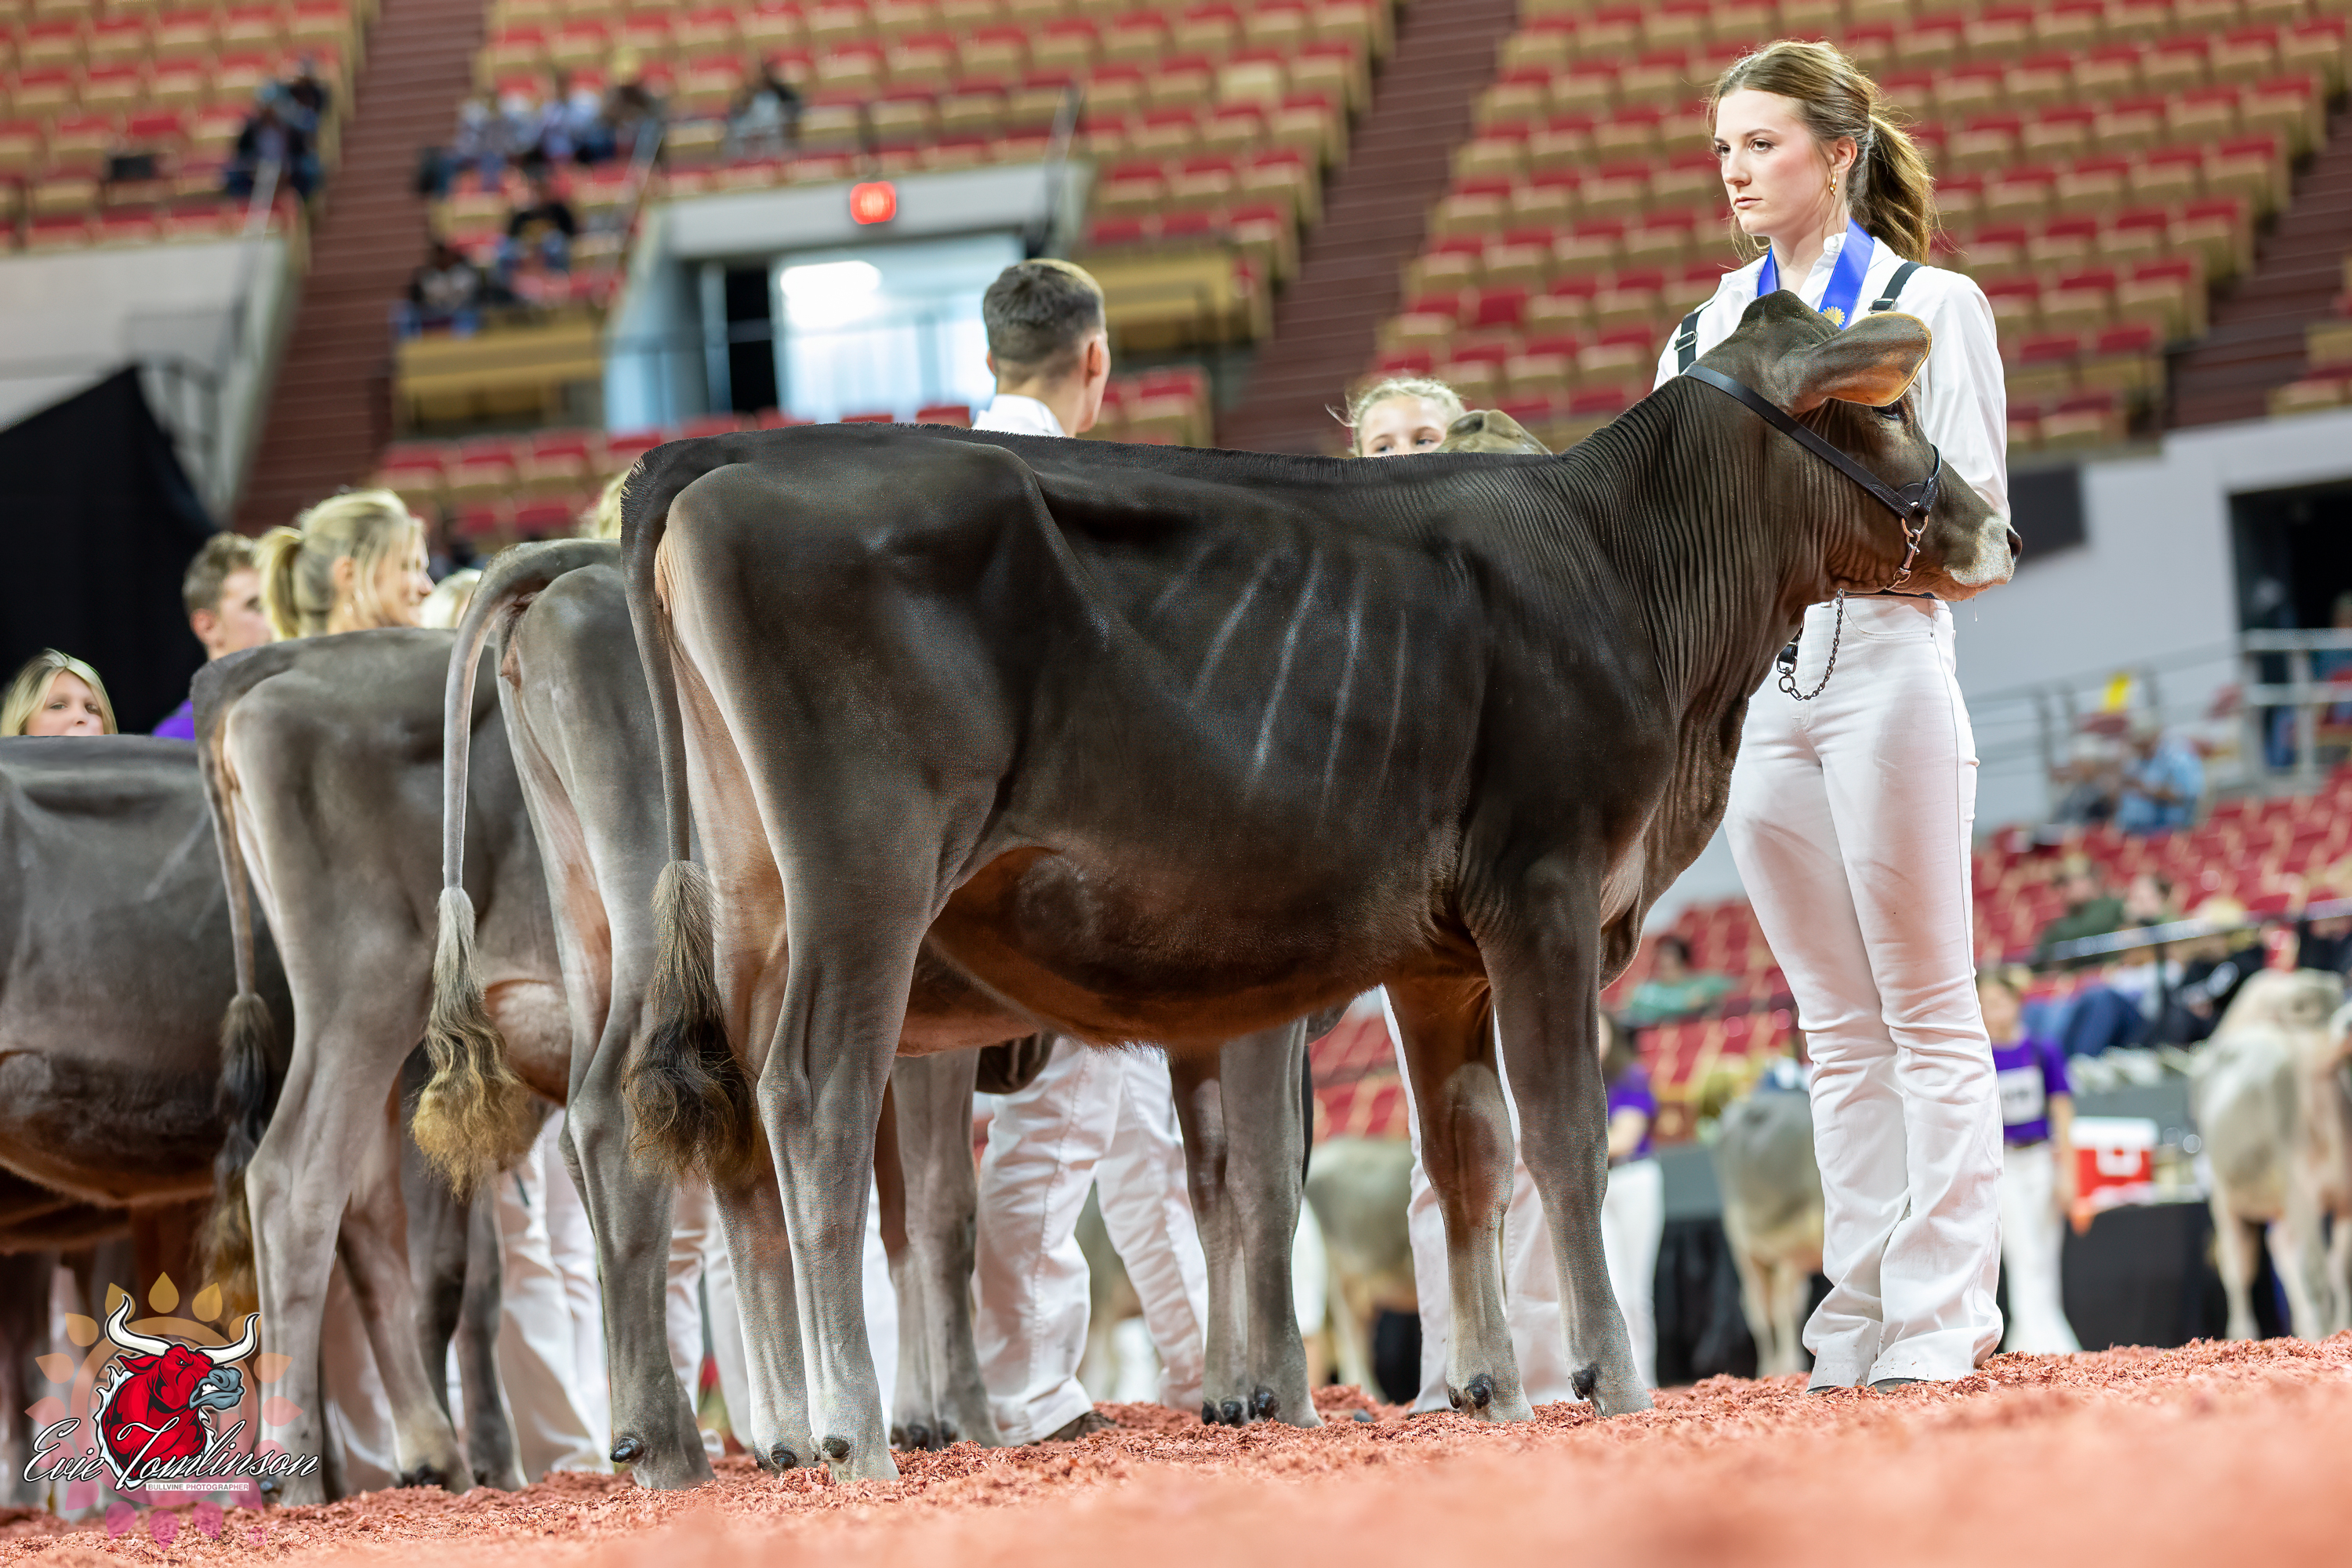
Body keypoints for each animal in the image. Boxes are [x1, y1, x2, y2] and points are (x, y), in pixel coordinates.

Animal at [2187, 969, 2352, 1340]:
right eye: (2302, 1008)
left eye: (2338, 996)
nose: (2347, 1022)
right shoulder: (2301, 1196)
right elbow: (2316, 1272)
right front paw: (2327, 1335)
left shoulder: (2345, 1199)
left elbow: (2342, 1267)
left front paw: (2341, 1328)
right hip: (2225, 1198)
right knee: (2238, 1267)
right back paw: (2243, 1333)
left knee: (2282, 1250)